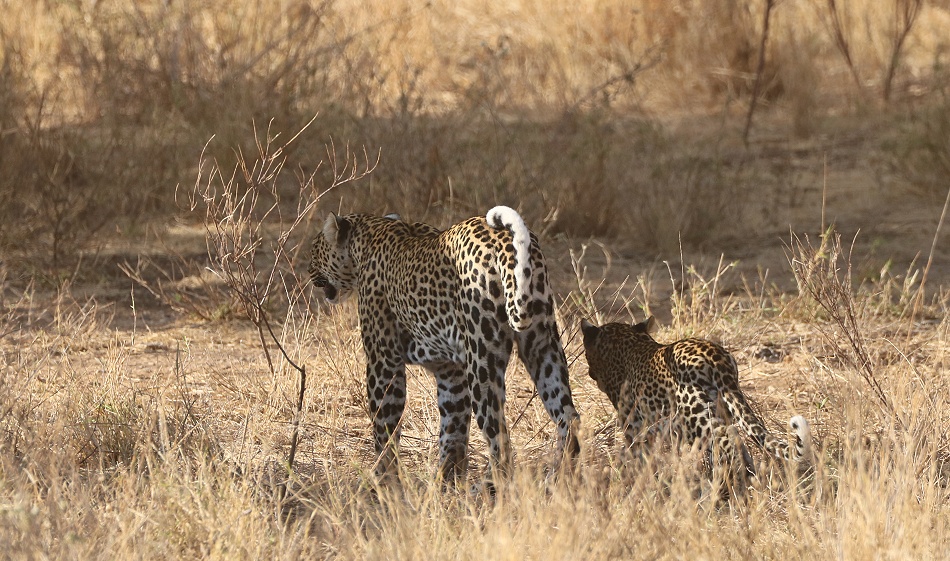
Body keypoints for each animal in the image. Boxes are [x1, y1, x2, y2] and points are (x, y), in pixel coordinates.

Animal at [309, 206, 580, 484]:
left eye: (315, 249)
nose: (309, 271)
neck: (370, 235)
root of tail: (504, 240)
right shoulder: (451, 370)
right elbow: (453, 427)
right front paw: (446, 481)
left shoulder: (383, 361)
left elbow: (385, 426)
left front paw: (384, 479)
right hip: (543, 343)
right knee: (568, 417)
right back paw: (560, 479)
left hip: (483, 359)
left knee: (499, 435)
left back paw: (489, 487)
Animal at [581, 316, 812, 491]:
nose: (590, 373)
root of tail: (717, 357)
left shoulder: (635, 427)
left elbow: (637, 456)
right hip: (723, 408)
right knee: (734, 440)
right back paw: (744, 479)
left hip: (696, 416)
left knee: (727, 441)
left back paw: (733, 484)